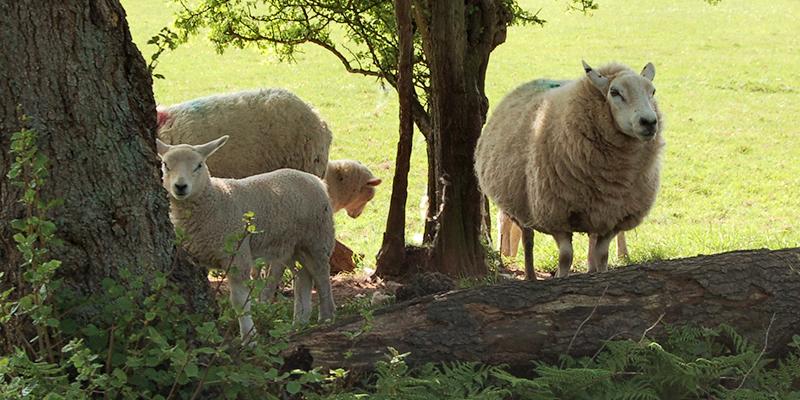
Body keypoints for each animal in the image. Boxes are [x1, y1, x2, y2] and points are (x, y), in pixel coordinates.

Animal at [156, 135, 336, 341]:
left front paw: (249, 338)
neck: (215, 199)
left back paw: (326, 317)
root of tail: (314, 179)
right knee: (303, 276)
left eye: (199, 165)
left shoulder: (237, 255)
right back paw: (299, 322)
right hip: (291, 245)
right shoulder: (195, 256)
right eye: (165, 165)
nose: (180, 186)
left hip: (318, 238)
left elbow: (240, 301)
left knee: (321, 276)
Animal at [474, 61, 664, 279]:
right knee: (527, 239)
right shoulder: (555, 215)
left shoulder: (612, 217)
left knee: (590, 240)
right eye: (615, 92)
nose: (649, 122)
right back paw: (530, 275)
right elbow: (566, 257)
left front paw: (600, 273)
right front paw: (560, 278)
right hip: (523, 205)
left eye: (652, 91)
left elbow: (602, 255)